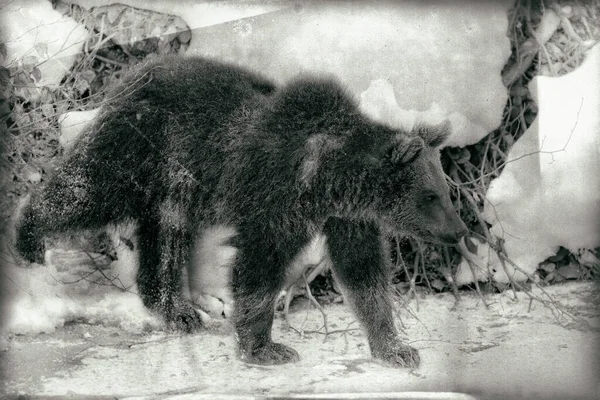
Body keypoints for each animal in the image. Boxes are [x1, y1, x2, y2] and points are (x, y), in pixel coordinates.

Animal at [12, 54, 464, 368]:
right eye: (431, 196)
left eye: (444, 191)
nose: (459, 230)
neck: (327, 182)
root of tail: (136, 71)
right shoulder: (275, 201)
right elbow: (257, 270)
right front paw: (266, 348)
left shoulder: (347, 219)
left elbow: (363, 275)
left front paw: (396, 349)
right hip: (138, 148)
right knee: (85, 191)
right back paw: (27, 236)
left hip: (174, 186)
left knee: (165, 237)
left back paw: (177, 310)